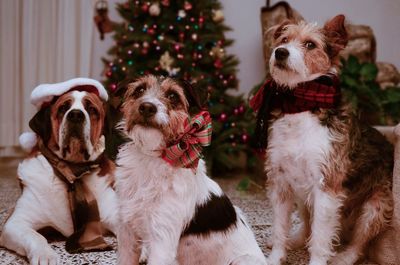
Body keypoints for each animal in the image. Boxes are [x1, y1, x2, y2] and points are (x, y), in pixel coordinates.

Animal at [0, 78, 118, 264]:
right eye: (63, 108)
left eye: (91, 109)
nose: (75, 114)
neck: (72, 171)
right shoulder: (15, 223)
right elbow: (35, 236)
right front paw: (45, 255)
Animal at [114, 75, 268, 264]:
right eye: (139, 90)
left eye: (173, 96)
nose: (147, 107)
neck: (151, 158)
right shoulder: (127, 232)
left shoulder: (162, 239)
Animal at [252, 14, 392, 264]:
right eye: (284, 39)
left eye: (310, 44)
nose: (280, 52)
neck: (300, 105)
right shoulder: (280, 182)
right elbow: (280, 228)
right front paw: (275, 256)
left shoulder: (326, 187)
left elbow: (320, 237)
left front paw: (317, 259)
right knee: (306, 226)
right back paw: (296, 239)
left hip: (374, 208)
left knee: (359, 245)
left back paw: (342, 257)